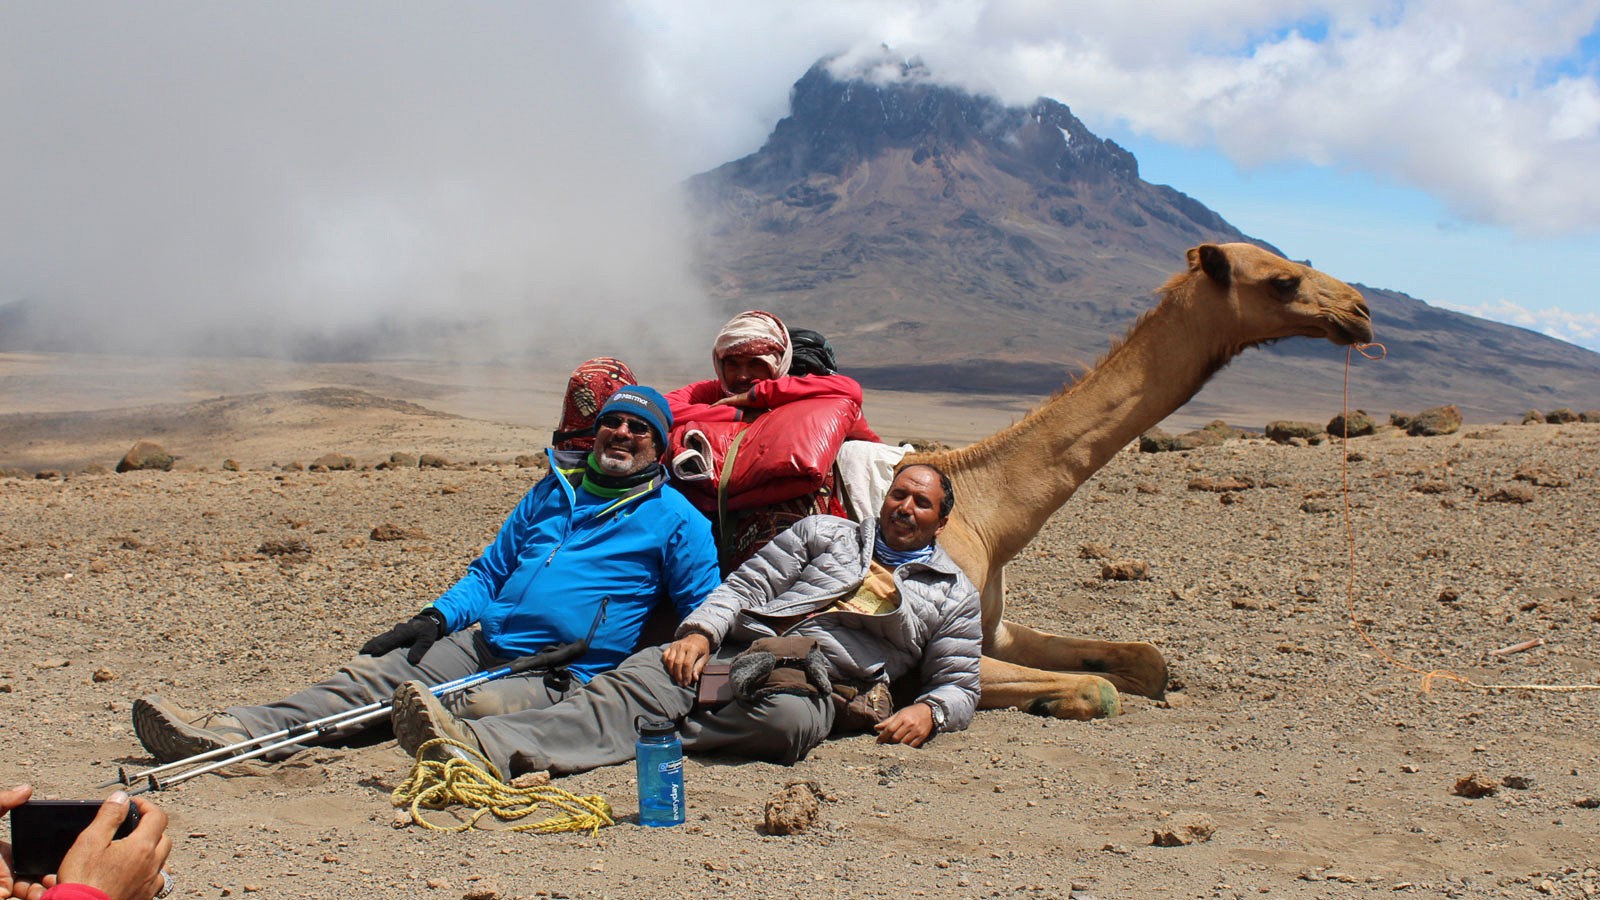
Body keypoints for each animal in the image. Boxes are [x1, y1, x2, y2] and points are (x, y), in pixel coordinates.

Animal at [902, 241, 1376, 717]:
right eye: (1283, 281)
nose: (1360, 310)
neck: (988, 518)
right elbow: (1097, 689)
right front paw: (1060, 697)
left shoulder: (997, 630)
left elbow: (1148, 659)